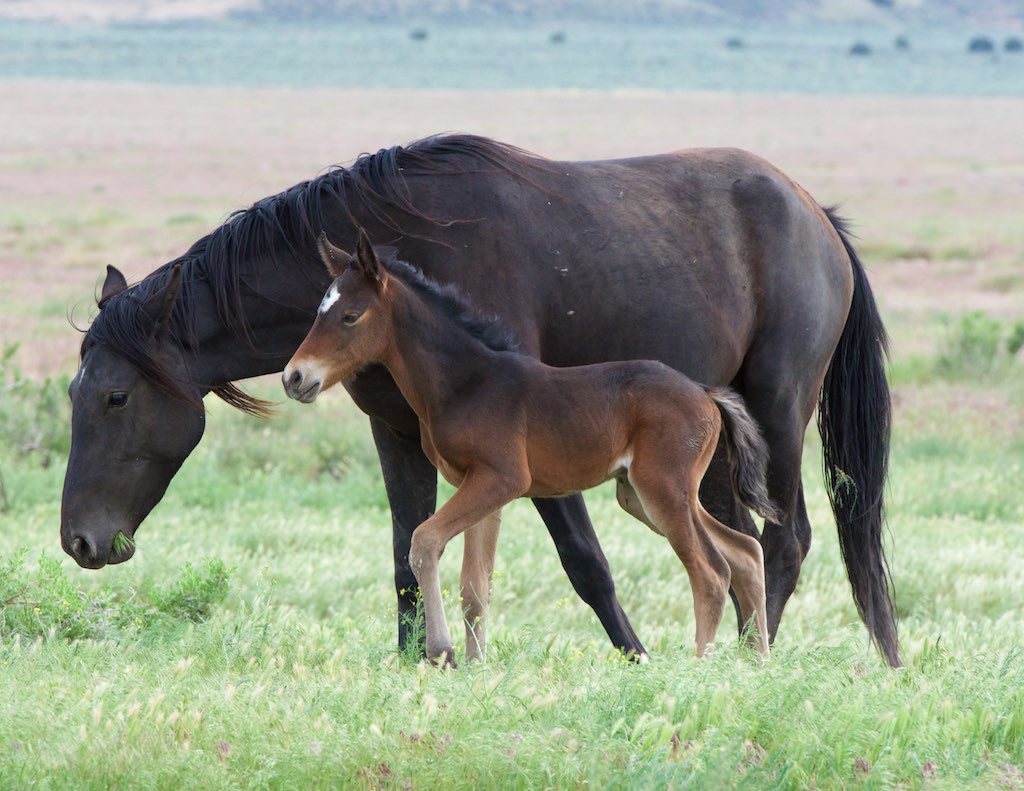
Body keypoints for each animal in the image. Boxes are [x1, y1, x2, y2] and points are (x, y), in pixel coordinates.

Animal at [284, 230, 778, 668]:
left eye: (350, 315)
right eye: (318, 311)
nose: (295, 377)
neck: (465, 383)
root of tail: (705, 394)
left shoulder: (501, 478)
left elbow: (423, 540)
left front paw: (442, 654)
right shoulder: (480, 487)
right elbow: (475, 585)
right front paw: (477, 666)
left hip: (663, 490)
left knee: (711, 572)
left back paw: (700, 669)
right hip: (643, 495)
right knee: (745, 552)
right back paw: (756, 664)